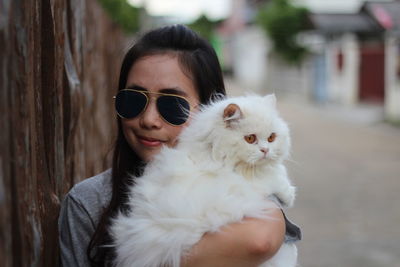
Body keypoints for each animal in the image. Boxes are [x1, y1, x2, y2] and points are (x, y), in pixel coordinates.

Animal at [111, 94, 296, 267]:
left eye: (272, 137)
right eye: (250, 139)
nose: (265, 150)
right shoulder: (246, 188)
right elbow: (272, 178)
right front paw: (288, 194)